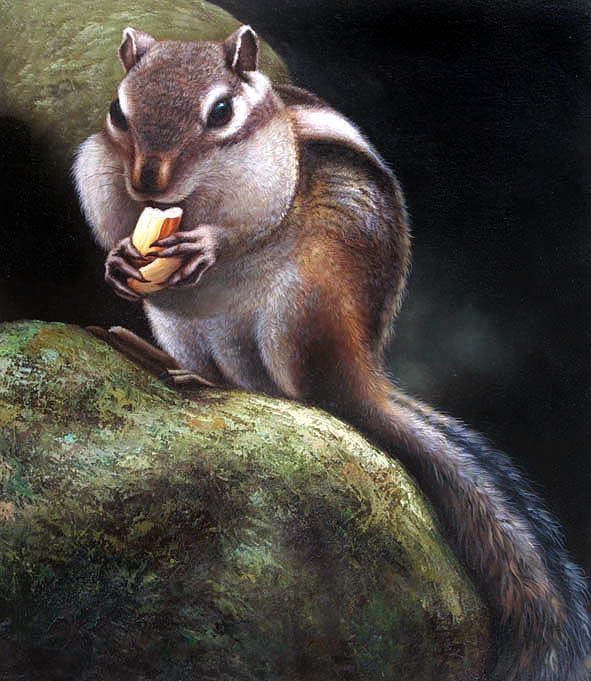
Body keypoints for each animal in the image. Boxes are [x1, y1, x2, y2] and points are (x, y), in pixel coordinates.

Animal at [73, 25, 591, 681]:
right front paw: (117, 259)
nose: (147, 182)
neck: (193, 195)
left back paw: (224, 384)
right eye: (119, 112)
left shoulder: (269, 185)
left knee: (296, 395)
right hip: (181, 325)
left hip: (300, 311)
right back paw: (162, 360)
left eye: (221, 112)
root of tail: (360, 370)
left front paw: (207, 244)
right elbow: (110, 220)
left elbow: (245, 227)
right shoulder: (100, 173)